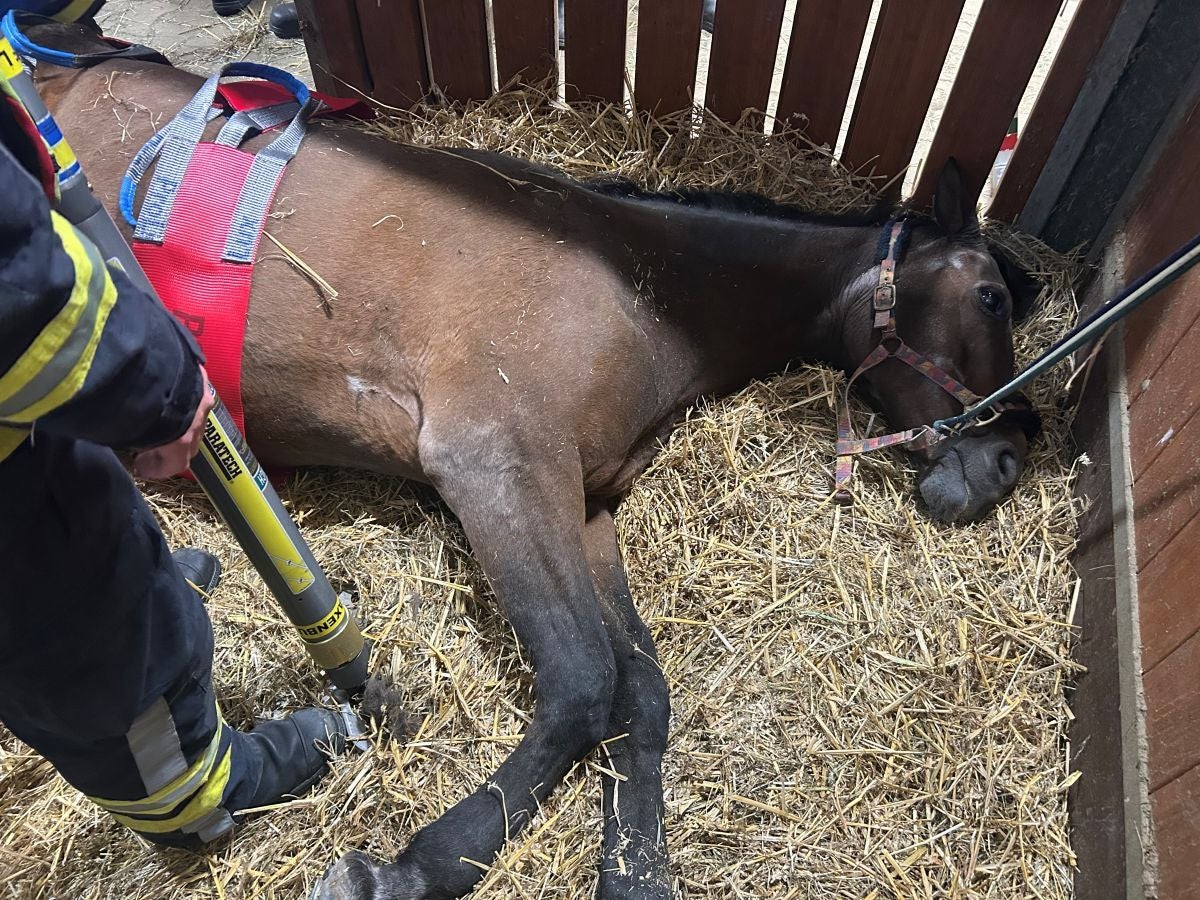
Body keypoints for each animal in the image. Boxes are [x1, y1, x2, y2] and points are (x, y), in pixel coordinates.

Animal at [35, 53, 1041, 900]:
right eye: (990, 295)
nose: (1004, 462)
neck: (642, 289)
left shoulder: (585, 504)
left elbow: (641, 693)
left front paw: (635, 865)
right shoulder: (502, 467)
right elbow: (584, 682)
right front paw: (411, 868)